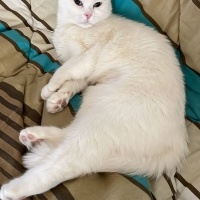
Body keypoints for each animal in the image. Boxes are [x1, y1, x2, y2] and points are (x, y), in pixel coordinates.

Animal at [0, 0, 188, 198]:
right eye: (78, 3)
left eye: (97, 4)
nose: (88, 15)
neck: (70, 27)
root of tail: (175, 149)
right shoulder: (85, 74)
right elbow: (72, 84)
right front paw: (57, 100)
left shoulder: (84, 59)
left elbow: (63, 72)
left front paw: (49, 90)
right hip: (93, 105)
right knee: (65, 137)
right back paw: (32, 136)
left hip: (97, 127)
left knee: (63, 163)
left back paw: (12, 190)